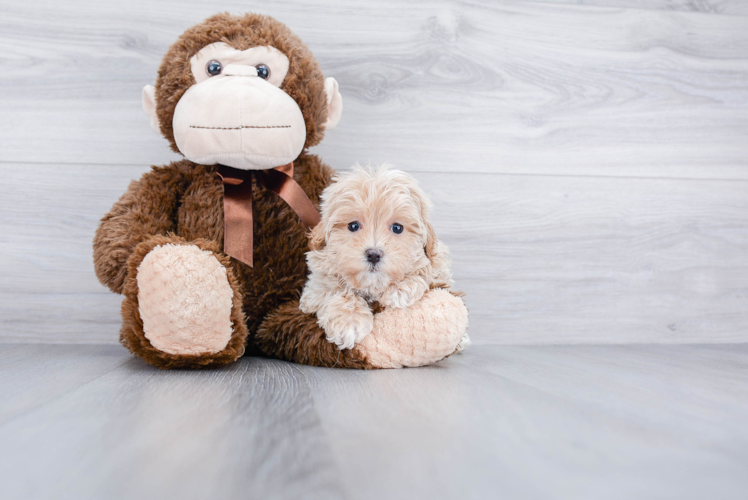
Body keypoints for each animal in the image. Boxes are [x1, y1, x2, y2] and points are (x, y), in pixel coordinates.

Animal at [300, 166, 452, 350]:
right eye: (353, 226)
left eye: (397, 228)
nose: (373, 254)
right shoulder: (313, 290)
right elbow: (334, 289)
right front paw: (349, 321)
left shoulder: (440, 268)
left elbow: (427, 271)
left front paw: (400, 288)